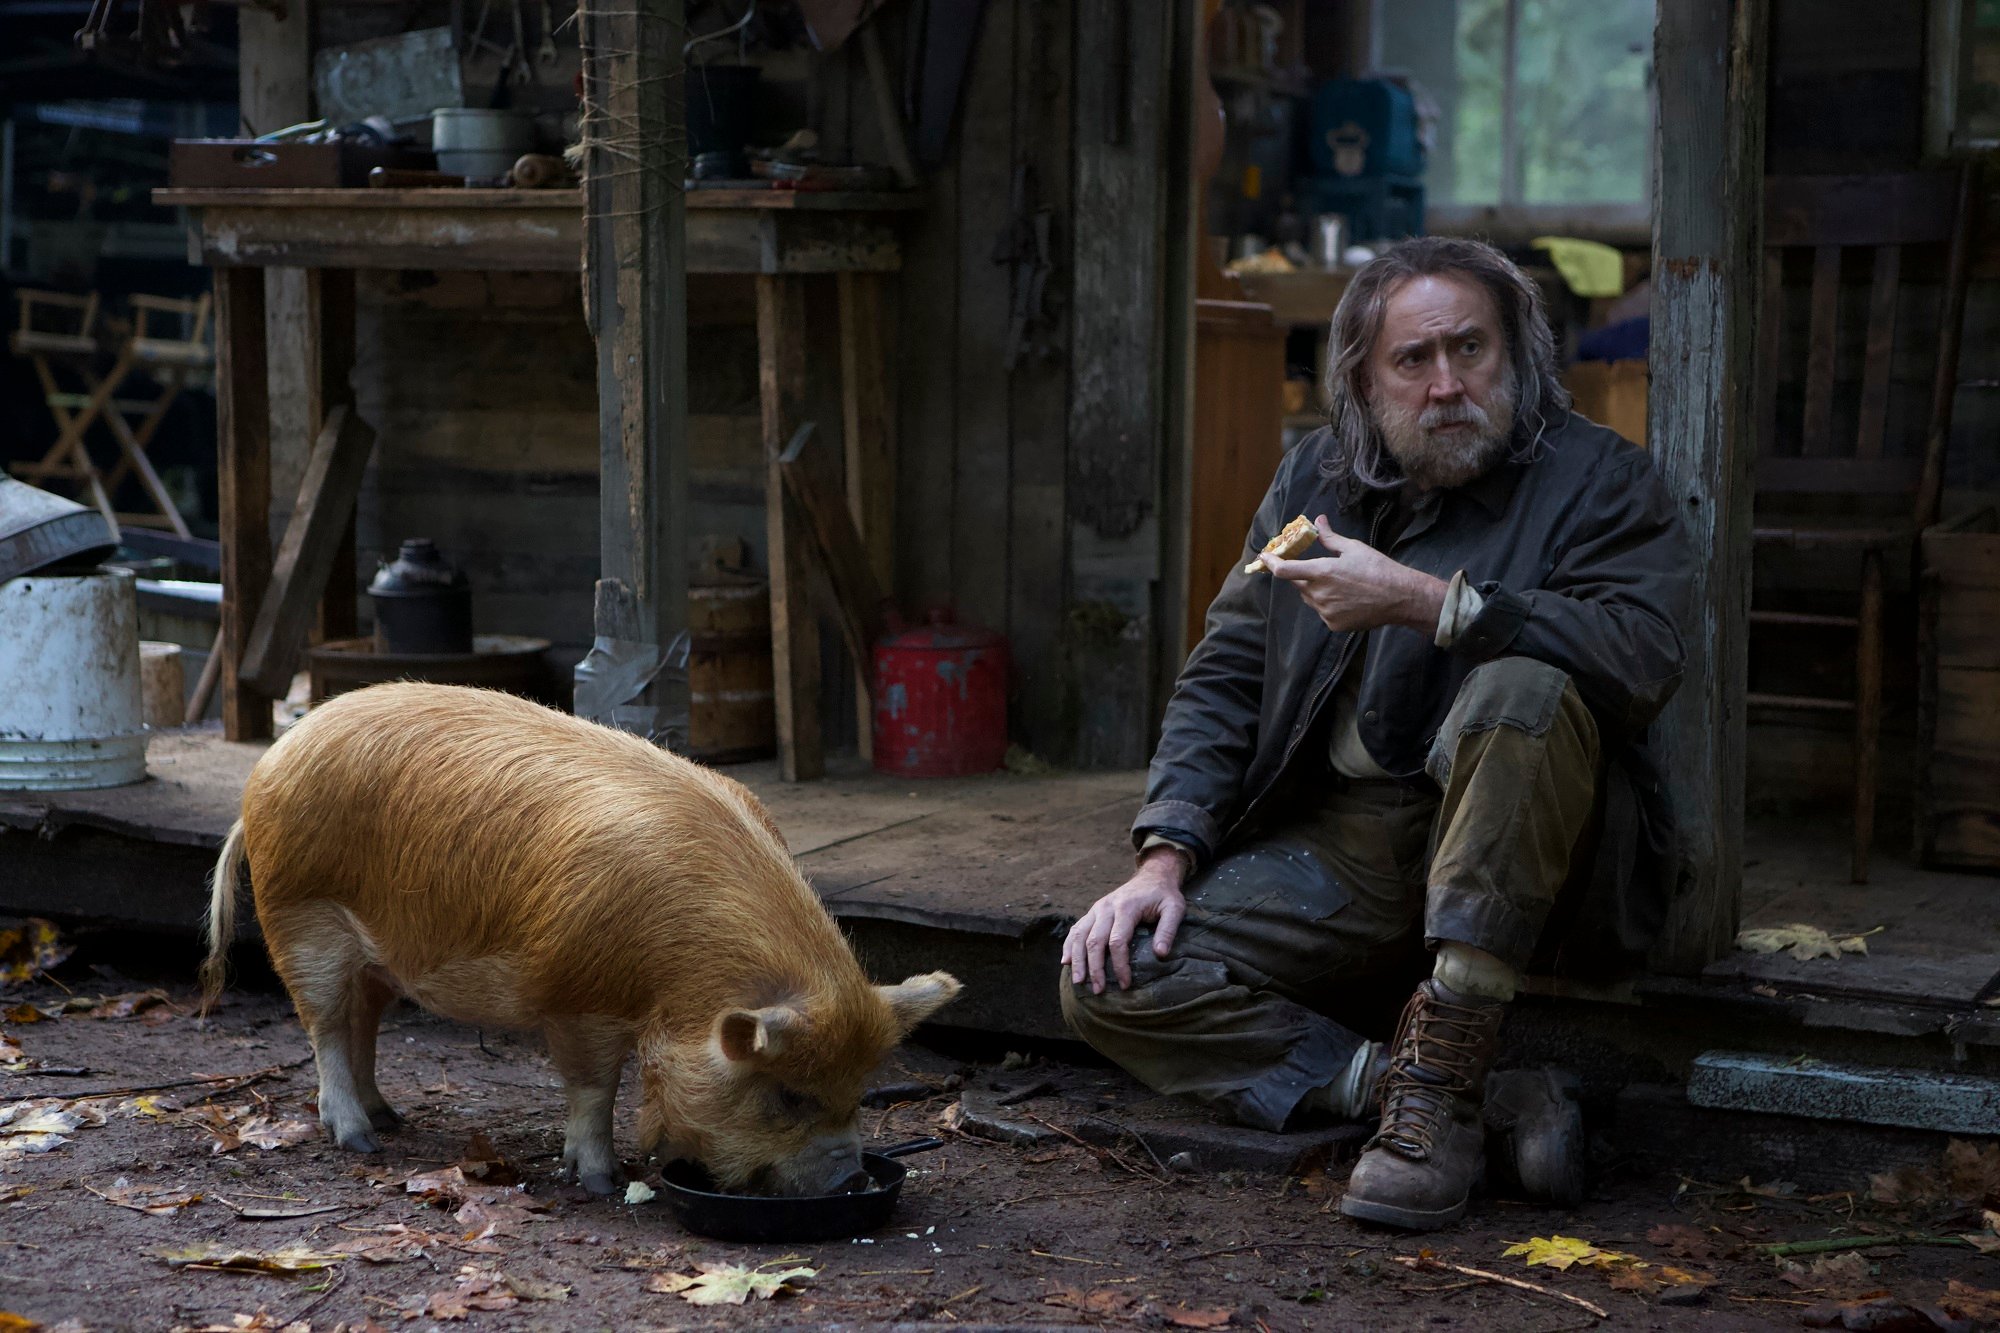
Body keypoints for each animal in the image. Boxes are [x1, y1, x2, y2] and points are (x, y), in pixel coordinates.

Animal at [199, 682, 960, 1196]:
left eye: (859, 1090)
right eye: (790, 1095)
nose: (849, 1180)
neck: (678, 979)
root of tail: (268, 765)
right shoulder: (575, 995)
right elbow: (595, 1086)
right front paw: (599, 1180)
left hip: (376, 957)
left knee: (364, 1022)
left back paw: (391, 1120)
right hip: (301, 916)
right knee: (325, 1025)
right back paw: (360, 1141)